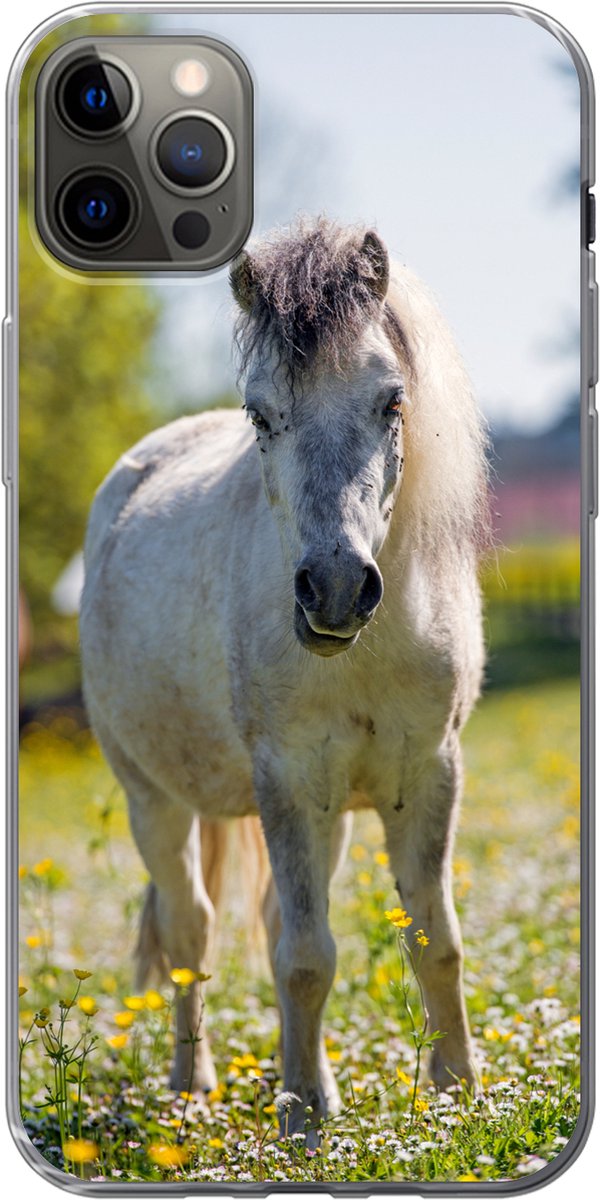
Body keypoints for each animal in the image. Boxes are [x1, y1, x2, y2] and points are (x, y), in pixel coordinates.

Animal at [79, 217, 488, 1140]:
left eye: (392, 401)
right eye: (260, 414)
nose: (334, 589)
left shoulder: (428, 774)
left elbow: (435, 940)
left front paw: (459, 1097)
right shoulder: (289, 782)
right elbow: (306, 957)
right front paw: (303, 1116)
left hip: (329, 813)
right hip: (153, 801)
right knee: (191, 932)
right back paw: (192, 1086)